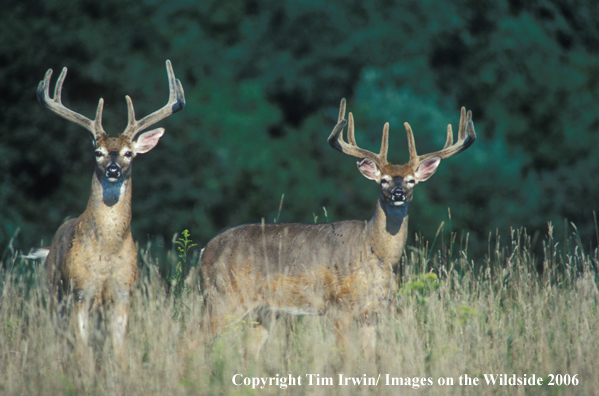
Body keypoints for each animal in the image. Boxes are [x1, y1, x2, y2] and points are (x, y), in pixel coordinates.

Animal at [35, 59, 185, 362]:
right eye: (98, 152)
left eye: (129, 153)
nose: (113, 170)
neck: (106, 252)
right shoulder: (81, 292)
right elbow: (82, 352)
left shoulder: (123, 293)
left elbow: (118, 351)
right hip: (54, 293)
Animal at [200, 98, 478, 350]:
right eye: (383, 180)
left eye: (411, 181)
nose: (398, 194)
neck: (375, 252)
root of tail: (205, 251)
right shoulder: (338, 305)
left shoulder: (372, 312)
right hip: (223, 296)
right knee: (194, 338)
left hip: (261, 312)